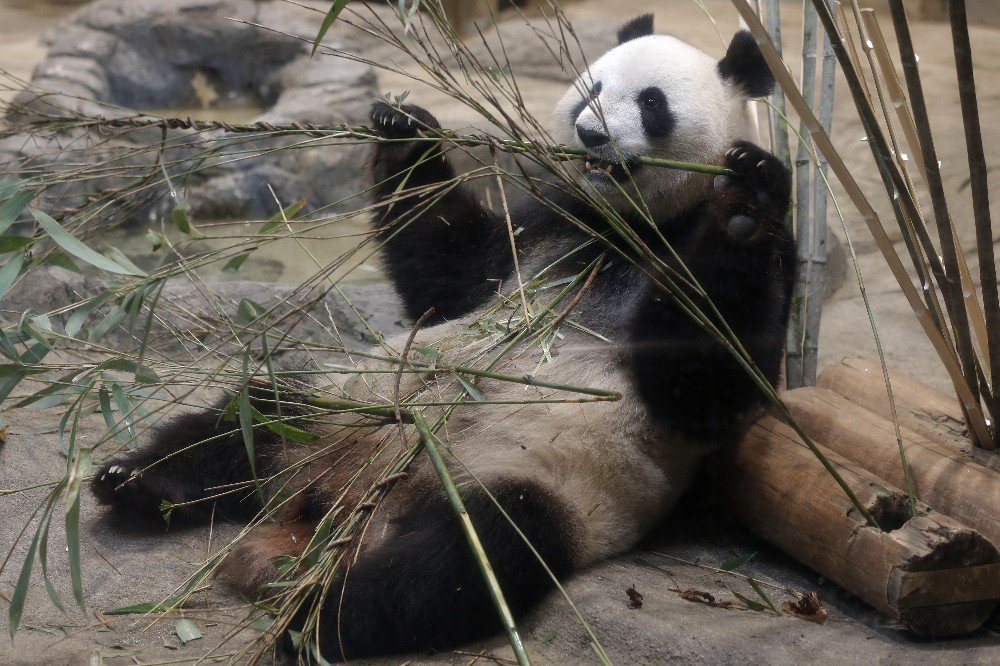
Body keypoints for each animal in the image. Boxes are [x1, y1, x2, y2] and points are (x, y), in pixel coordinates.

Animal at [94, 14, 796, 660]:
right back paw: (136, 481)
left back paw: (315, 621)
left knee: (461, 561)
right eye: (591, 87)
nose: (592, 133)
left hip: (538, 480)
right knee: (253, 416)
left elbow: (705, 384)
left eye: (652, 104)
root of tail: (337, 503)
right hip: (347, 405)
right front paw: (405, 133)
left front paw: (744, 205)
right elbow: (448, 274)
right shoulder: (550, 222)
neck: (625, 227)